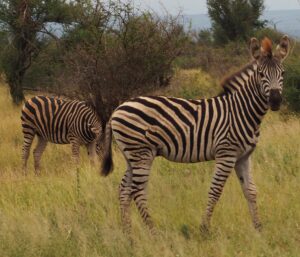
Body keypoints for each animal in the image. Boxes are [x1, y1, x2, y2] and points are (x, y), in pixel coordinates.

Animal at [101, 35, 290, 233]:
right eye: (261, 74)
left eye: (283, 73)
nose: (275, 101)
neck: (240, 110)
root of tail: (117, 109)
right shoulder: (226, 154)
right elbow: (215, 190)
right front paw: (204, 228)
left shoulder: (244, 157)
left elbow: (251, 191)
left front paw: (259, 228)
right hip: (141, 152)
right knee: (137, 190)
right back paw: (153, 230)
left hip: (132, 155)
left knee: (124, 189)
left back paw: (127, 231)